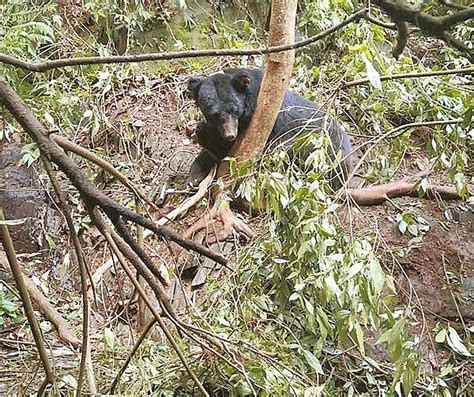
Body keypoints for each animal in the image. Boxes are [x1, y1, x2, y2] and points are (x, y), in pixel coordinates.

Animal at [187, 68, 350, 189]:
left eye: (234, 110)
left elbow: (226, 150)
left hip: (318, 150)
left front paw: (199, 130)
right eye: (213, 114)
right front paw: (195, 175)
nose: (230, 134)